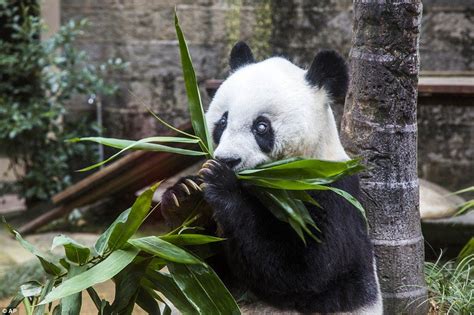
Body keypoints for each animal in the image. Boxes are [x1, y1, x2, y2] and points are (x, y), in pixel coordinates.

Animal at [161, 42, 384, 315]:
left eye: (261, 126)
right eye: (222, 122)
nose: (228, 160)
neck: (270, 183)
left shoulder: (332, 194)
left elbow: (306, 273)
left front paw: (221, 183)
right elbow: (203, 270)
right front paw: (185, 198)